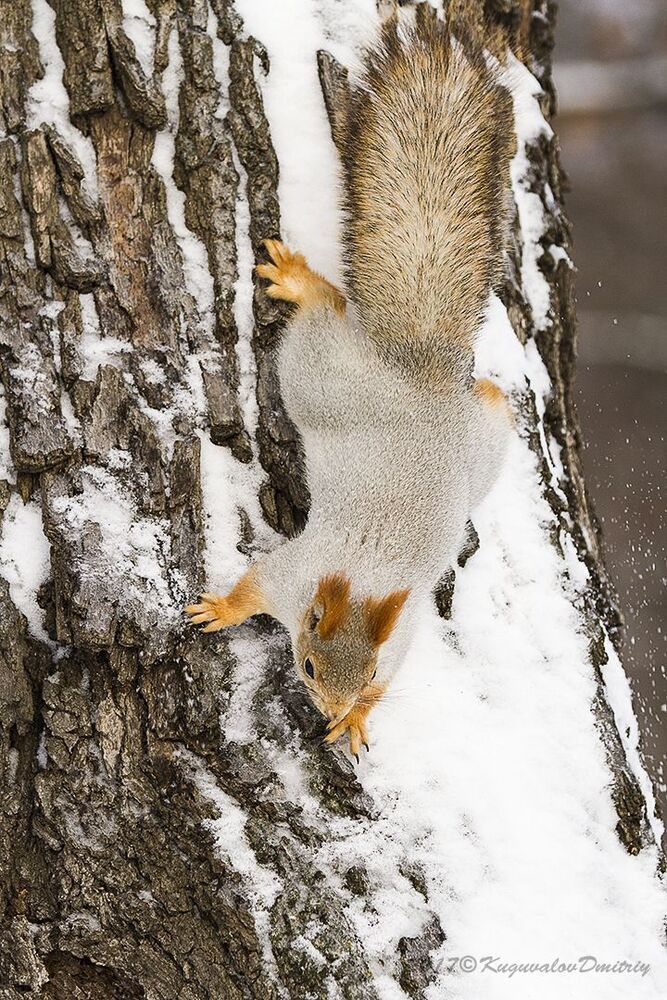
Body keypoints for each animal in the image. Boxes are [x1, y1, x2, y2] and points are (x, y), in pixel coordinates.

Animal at [186, 2, 514, 759]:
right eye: (307, 664)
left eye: (365, 672)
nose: (329, 702)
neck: (367, 585)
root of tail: (421, 379)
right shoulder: (291, 575)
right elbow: (253, 587)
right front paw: (220, 607)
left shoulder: (402, 635)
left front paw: (359, 718)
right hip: (318, 377)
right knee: (323, 314)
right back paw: (302, 285)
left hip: (470, 450)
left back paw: (496, 393)